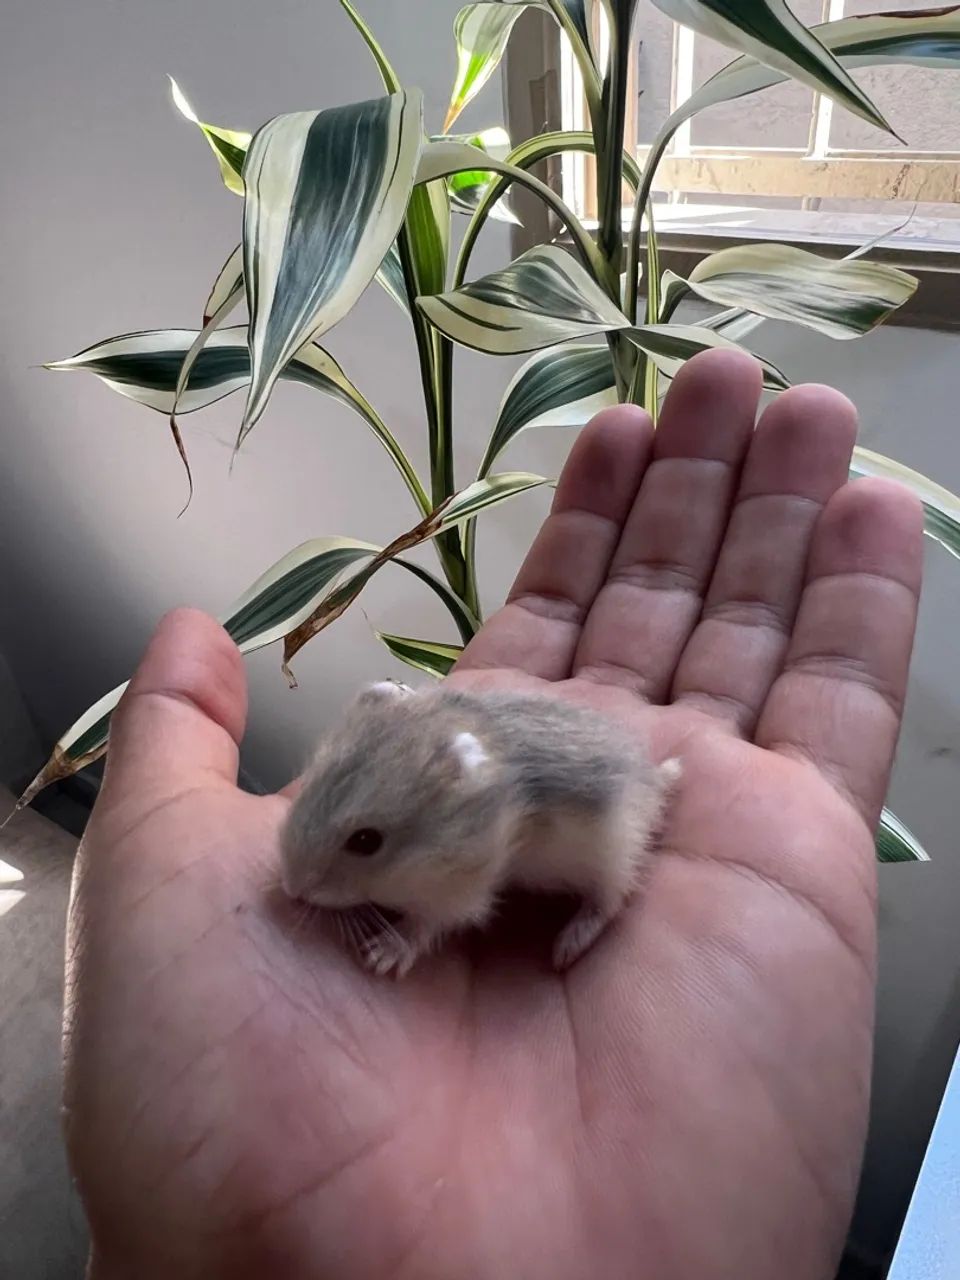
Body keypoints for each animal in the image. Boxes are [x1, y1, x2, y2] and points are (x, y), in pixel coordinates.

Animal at [280, 680, 680, 978]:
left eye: (366, 841)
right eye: (308, 785)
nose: (290, 889)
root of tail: (653, 780)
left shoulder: (459, 891)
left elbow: (425, 922)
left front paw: (381, 957)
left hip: (613, 852)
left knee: (609, 900)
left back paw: (567, 946)